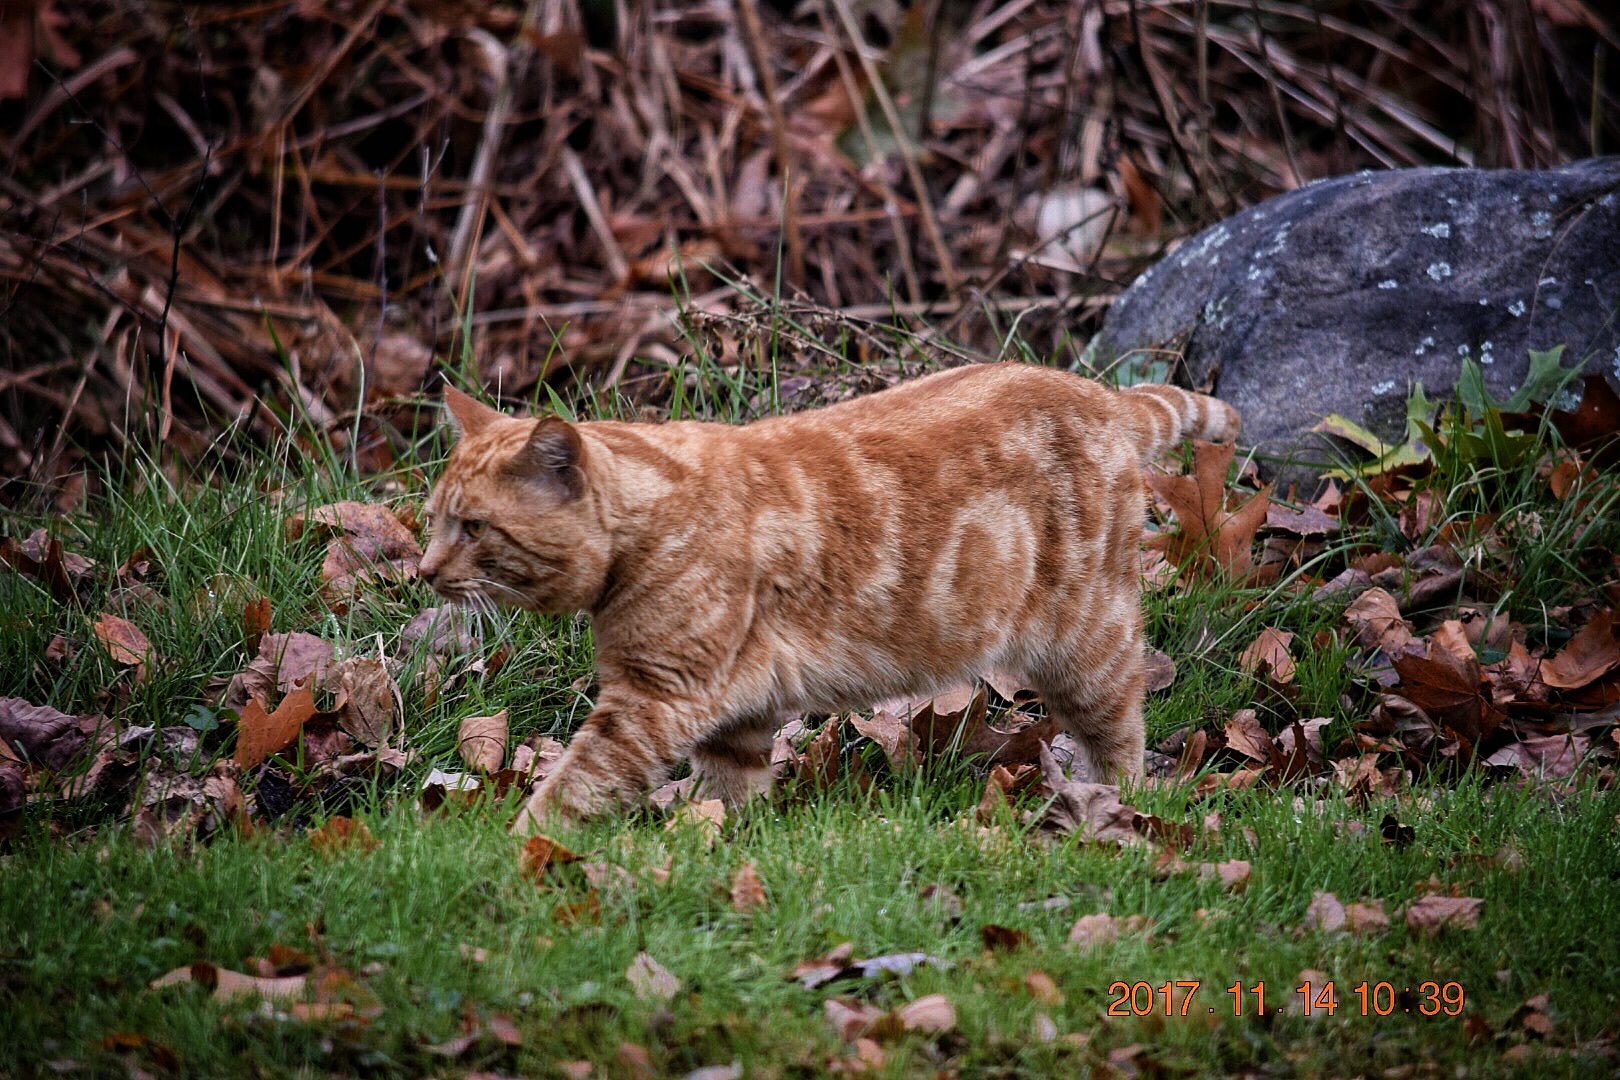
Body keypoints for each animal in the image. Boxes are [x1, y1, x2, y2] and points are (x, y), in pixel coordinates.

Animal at [421, 362, 1237, 829]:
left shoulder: (652, 699)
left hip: (1083, 646)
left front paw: (517, 857)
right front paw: (721, 840)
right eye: (432, 519)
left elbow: (575, 784)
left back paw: (1111, 806)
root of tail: (1103, 396)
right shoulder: (734, 713)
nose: (421, 571)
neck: (657, 513)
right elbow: (732, 792)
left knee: (1124, 726)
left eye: (473, 526)